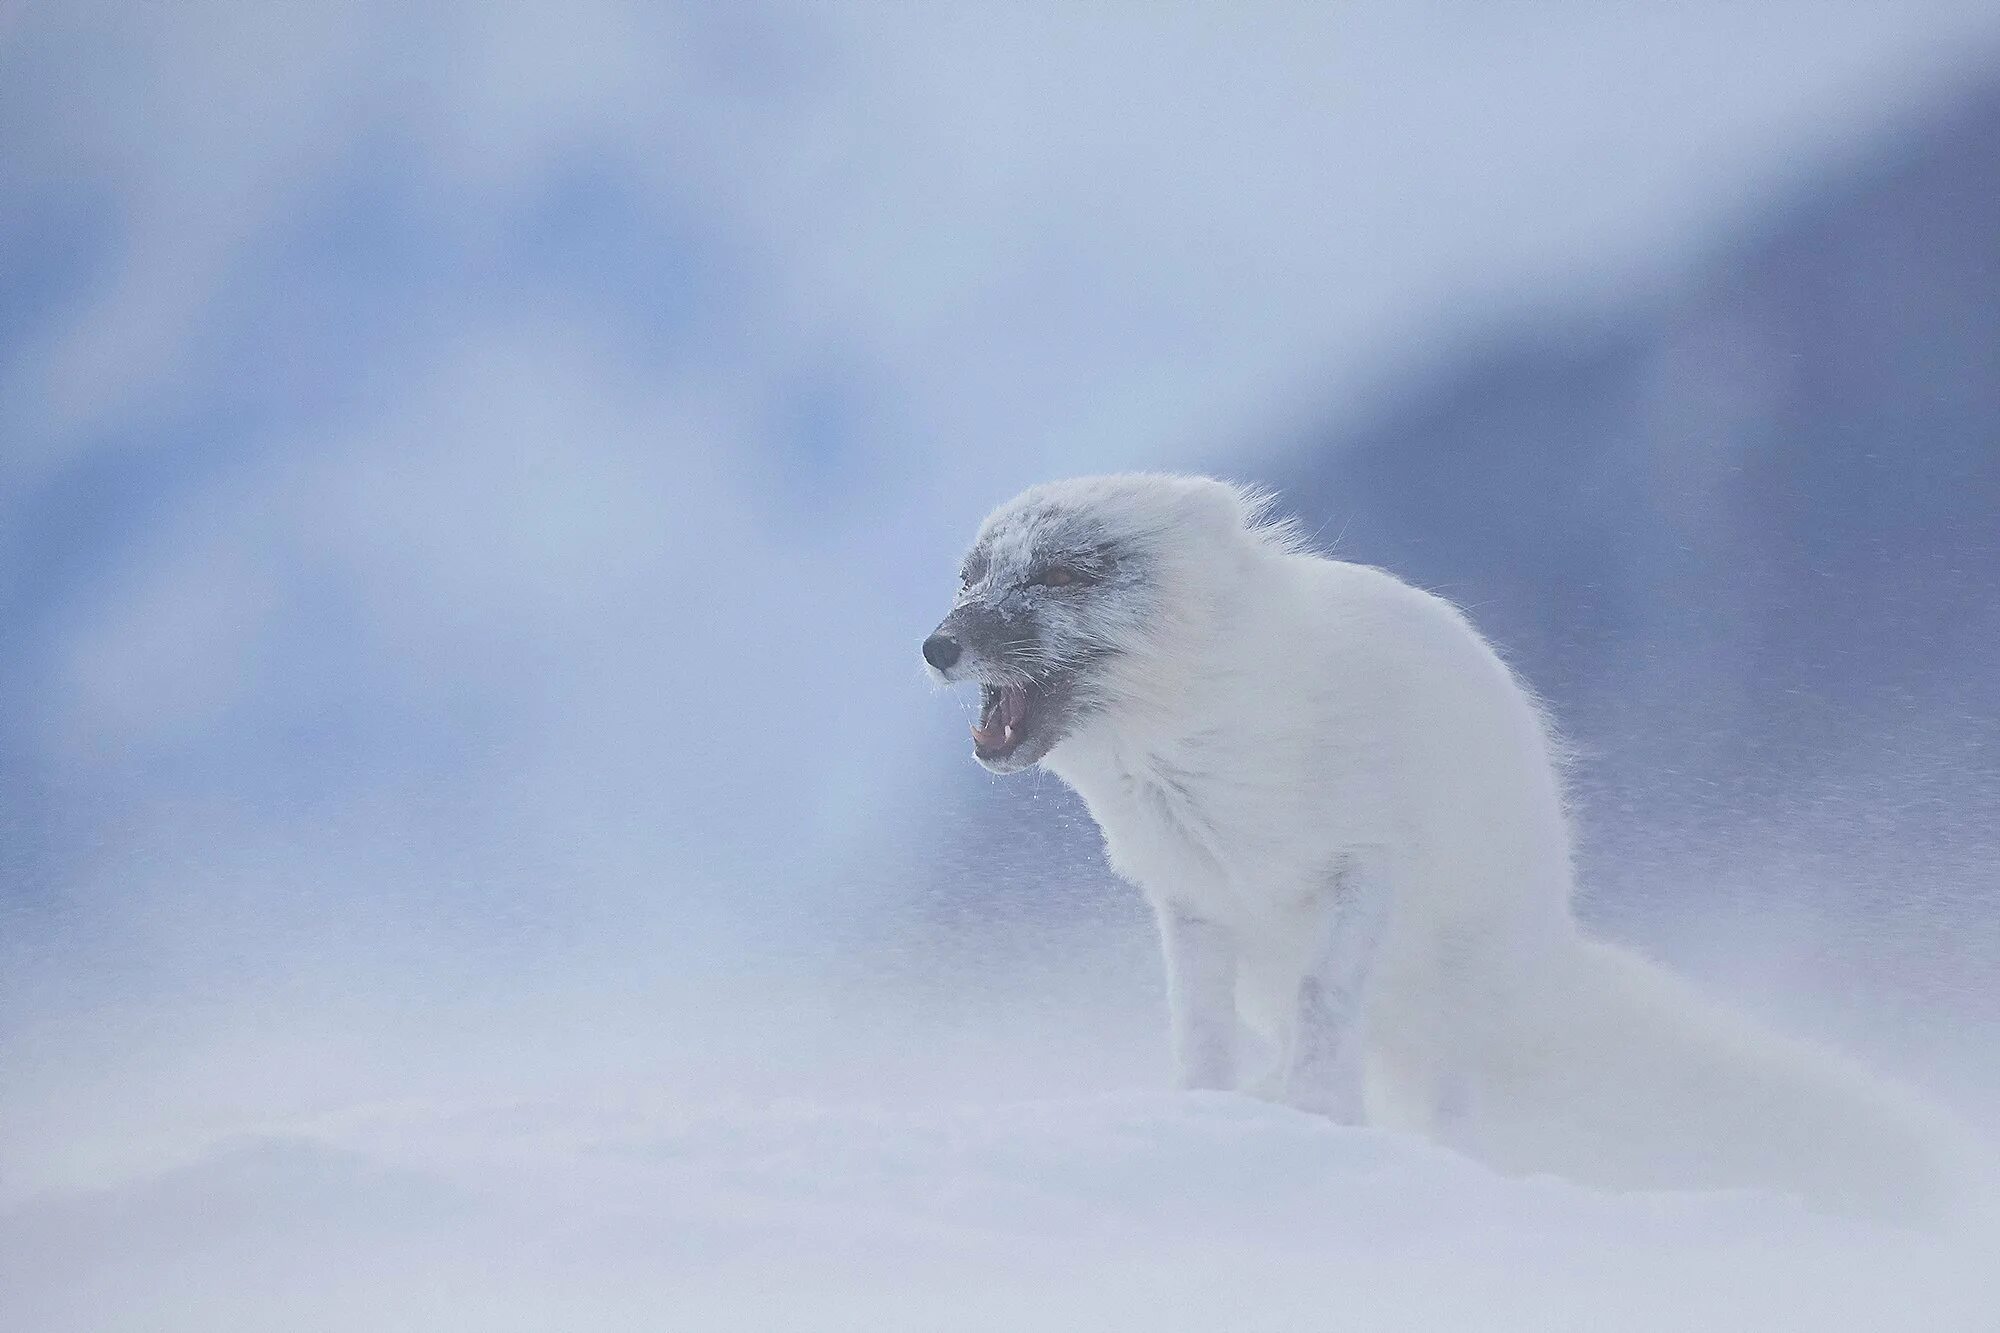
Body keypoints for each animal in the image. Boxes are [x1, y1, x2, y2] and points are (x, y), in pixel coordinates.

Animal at [924, 472, 1984, 1216]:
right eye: (971, 573)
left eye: (1065, 571)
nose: (936, 645)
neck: (1211, 769)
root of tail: (1550, 953)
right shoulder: (1191, 902)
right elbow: (1201, 1030)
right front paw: (1204, 1110)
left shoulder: (1366, 867)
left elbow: (1323, 995)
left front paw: (1319, 1111)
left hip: (1462, 1011)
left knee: (1444, 1100)